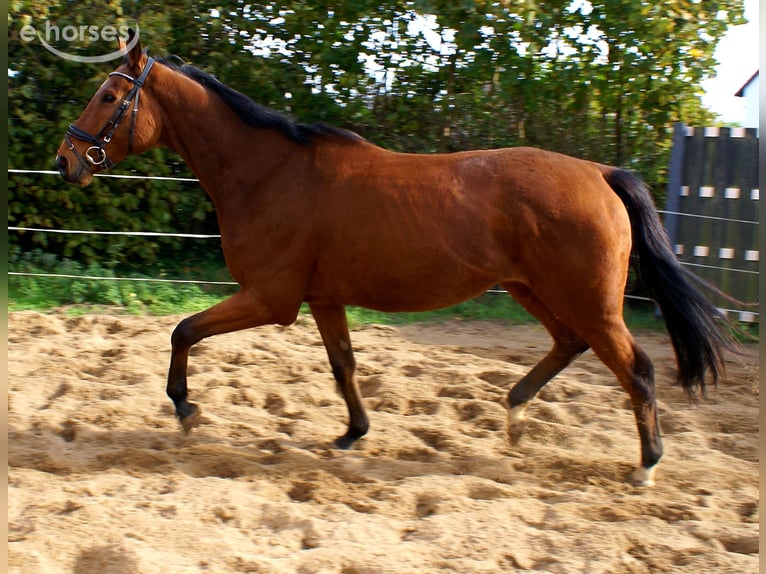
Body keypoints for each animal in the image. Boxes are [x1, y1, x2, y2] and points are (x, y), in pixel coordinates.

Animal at [55, 33, 738, 487]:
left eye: (109, 95)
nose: (66, 160)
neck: (269, 173)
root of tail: (600, 173)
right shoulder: (322, 299)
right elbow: (344, 367)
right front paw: (352, 434)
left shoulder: (270, 299)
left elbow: (183, 330)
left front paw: (185, 408)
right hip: (532, 289)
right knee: (569, 344)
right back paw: (516, 414)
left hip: (588, 301)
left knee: (636, 368)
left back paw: (645, 466)